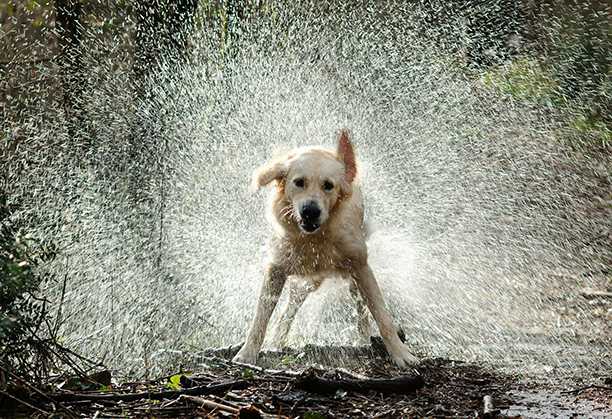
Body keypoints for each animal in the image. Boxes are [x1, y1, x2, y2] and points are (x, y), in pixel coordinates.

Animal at [232, 130, 418, 368]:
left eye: (328, 185)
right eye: (299, 182)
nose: (310, 211)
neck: (315, 238)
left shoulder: (361, 268)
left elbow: (382, 316)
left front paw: (400, 354)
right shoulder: (276, 269)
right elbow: (260, 317)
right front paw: (247, 353)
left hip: (350, 279)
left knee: (360, 309)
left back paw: (364, 337)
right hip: (305, 282)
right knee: (288, 311)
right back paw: (277, 341)